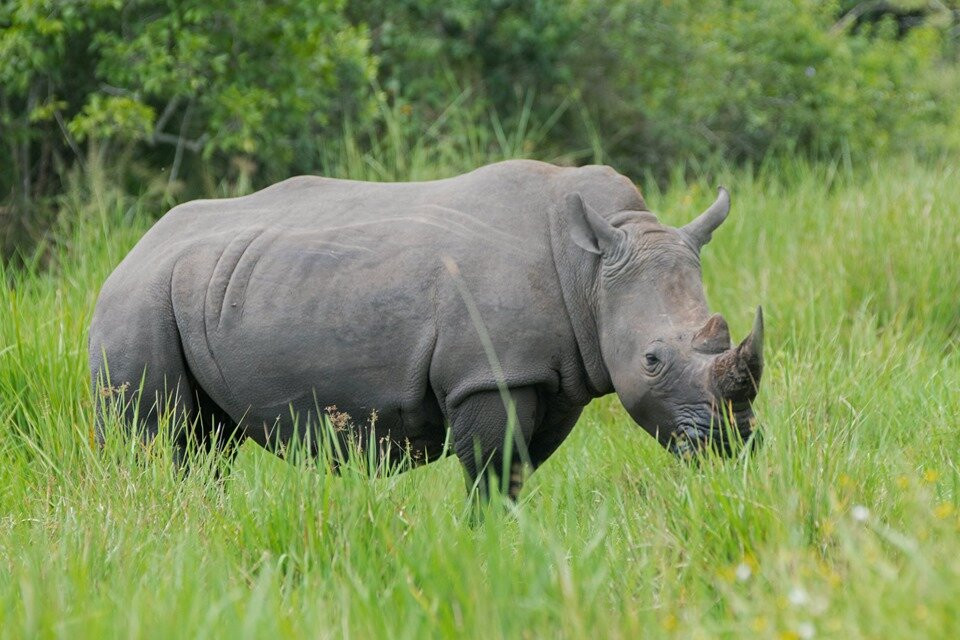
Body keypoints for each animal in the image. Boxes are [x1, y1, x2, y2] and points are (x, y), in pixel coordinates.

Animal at [89, 160, 763, 497]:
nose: (731, 443)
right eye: (652, 360)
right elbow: (490, 468)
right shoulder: (488, 374)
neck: (590, 274)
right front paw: (488, 547)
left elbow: (517, 470)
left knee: (206, 443)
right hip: (136, 303)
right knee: (160, 436)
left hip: (202, 287)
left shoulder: (556, 374)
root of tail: (126, 254)